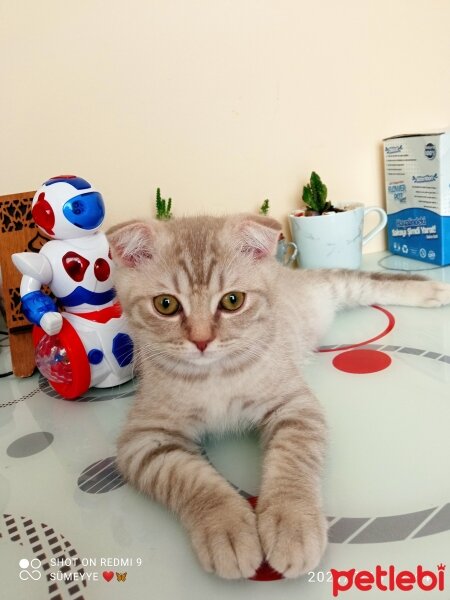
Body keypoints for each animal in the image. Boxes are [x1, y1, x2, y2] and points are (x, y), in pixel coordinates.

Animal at [108, 213, 450, 580]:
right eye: (166, 304)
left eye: (232, 301)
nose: (201, 341)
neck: (214, 375)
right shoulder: (144, 439)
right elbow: (189, 479)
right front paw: (226, 528)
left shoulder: (294, 405)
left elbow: (292, 461)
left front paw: (292, 524)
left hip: (332, 287)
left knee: (365, 282)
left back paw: (429, 289)